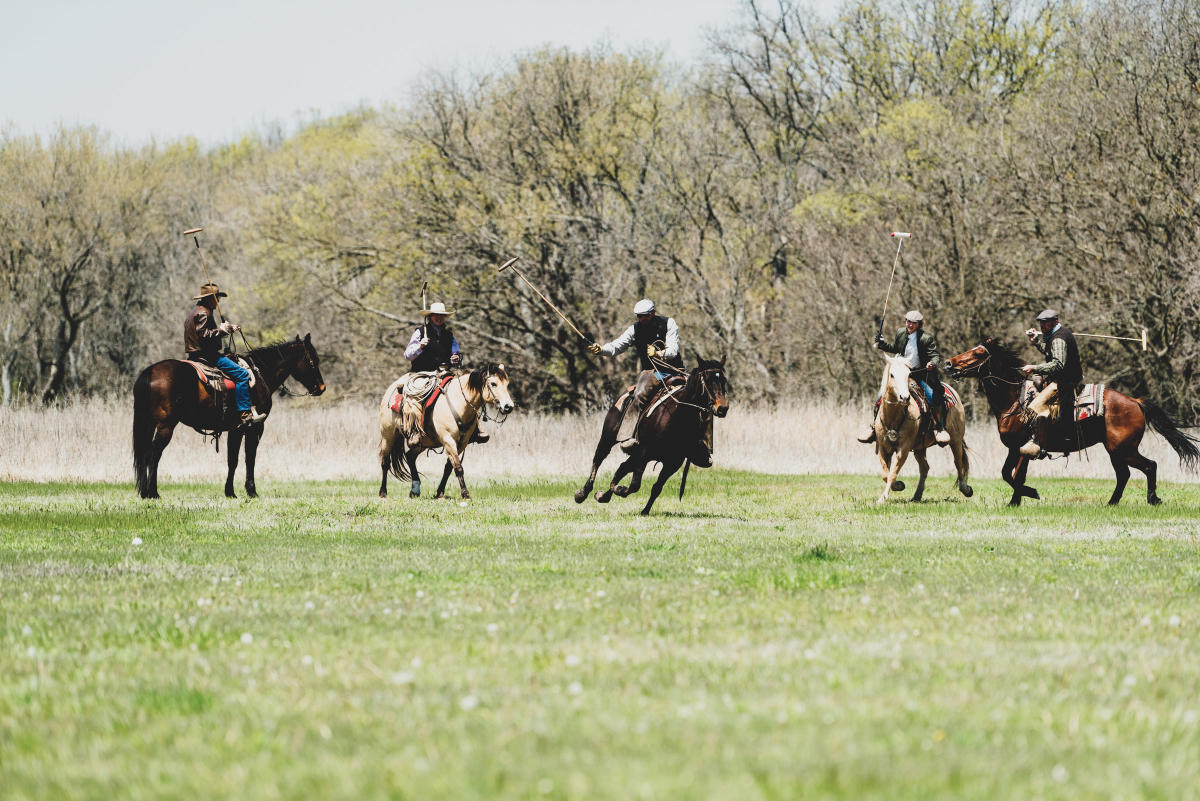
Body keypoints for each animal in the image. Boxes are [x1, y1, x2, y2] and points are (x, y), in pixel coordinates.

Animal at [132, 333, 324, 496]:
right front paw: (251, 491)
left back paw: (145, 492)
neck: (260, 373)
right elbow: (249, 458)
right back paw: (152, 492)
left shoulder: (235, 429)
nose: (322, 388)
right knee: (154, 454)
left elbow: (232, 460)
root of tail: (150, 372)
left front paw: (230, 492)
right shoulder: (254, 427)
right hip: (166, 426)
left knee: (145, 454)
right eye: (313, 361)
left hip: (150, 424)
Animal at [376, 364, 513, 501]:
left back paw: (415, 490)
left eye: (507, 384)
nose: (508, 406)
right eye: (493, 383)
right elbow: (458, 467)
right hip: (388, 436)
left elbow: (449, 468)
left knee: (410, 456)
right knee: (385, 463)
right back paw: (383, 492)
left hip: (423, 442)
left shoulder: (462, 443)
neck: (459, 403)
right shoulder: (448, 440)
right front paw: (465, 493)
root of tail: (391, 389)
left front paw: (440, 493)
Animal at [573, 354, 729, 513]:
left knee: (622, 468)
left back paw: (603, 496)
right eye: (708, 380)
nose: (723, 408)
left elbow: (656, 487)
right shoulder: (644, 453)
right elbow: (635, 485)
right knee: (599, 459)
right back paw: (583, 493)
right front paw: (620, 490)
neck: (677, 415)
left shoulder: (673, 462)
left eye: (723, 380)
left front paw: (645, 511)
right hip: (609, 438)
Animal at [873, 354, 974, 503]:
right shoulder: (883, 447)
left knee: (958, 462)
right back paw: (917, 495)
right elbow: (886, 474)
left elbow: (892, 473)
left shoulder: (903, 448)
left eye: (908, 374)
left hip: (955, 439)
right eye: (892, 375)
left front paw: (883, 498)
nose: (905, 398)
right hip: (920, 447)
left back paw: (965, 489)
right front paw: (898, 485)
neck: (894, 416)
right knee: (925, 468)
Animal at [945, 340, 1200, 506]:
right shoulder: (1015, 448)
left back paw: (1152, 499)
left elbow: (1016, 476)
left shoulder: (1025, 448)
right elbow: (1008, 474)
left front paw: (1027, 495)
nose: (948, 363)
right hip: (1116, 451)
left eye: (978, 354)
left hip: (1123, 449)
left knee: (1149, 466)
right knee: (1124, 475)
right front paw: (1017, 500)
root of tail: (1135, 402)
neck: (1015, 401)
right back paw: (1112, 502)